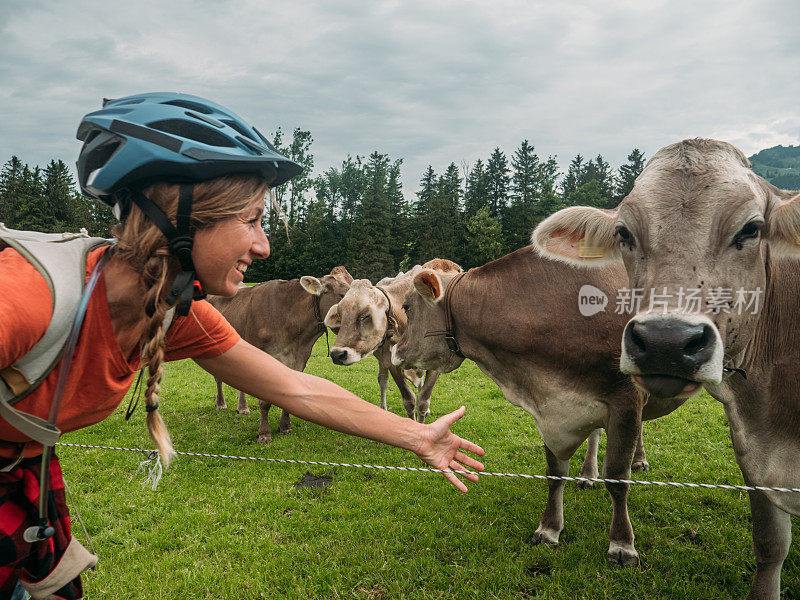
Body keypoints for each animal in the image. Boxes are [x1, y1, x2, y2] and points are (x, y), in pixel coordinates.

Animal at [209, 264, 354, 442]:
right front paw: (264, 434)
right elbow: (264, 402)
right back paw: (221, 404)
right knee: (218, 378)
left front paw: (285, 427)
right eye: (343, 295)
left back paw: (242, 408)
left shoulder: (299, 360)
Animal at [324, 260, 462, 424]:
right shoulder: (390, 360)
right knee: (383, 380)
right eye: (341, 314)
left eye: (365, 316)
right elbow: (409, 400)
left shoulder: (436, 365)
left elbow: (422, 401)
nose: (337, 354)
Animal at [390, 248, 680, 568]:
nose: (394, 351)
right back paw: (588, 474)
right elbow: (555, 473)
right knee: (595, 435)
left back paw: (638, 459)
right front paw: (549, 529)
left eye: (407, 306)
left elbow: (617, 478)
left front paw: (622, 544)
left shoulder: (626, 400)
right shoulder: (551, 407)